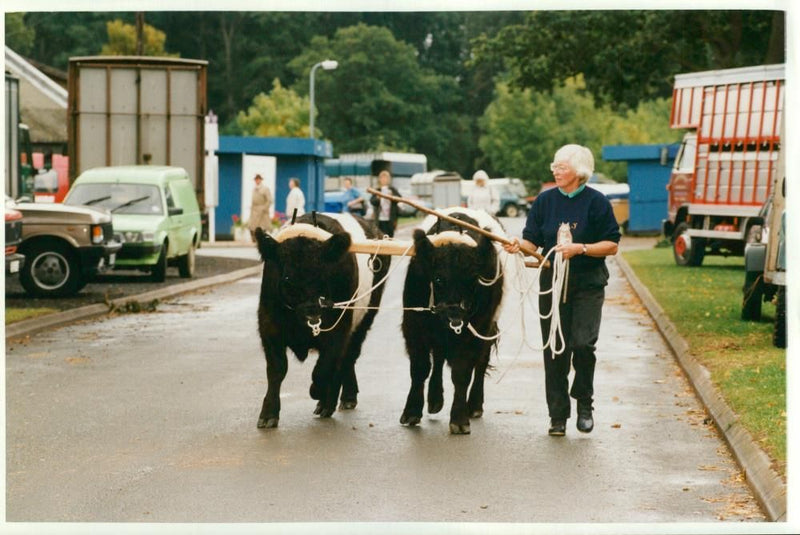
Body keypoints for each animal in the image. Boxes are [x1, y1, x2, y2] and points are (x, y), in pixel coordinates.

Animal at [255, 213, 390, 428]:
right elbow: (277, 369)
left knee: (347, 358)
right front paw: (268, 414)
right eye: (287, 279)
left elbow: (324, 368)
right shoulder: (269, 326)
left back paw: (340, 399)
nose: (313, 314)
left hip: (364, 320)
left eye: (324, 275)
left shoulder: (339, 330)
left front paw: (319, 393)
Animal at [404, 209, 504, 436]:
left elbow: (462, 372)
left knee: (480, 363)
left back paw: (474, 405)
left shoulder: (475, 330)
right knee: (439, 358)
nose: (455, 315)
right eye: (438, 279)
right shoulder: (414, 326)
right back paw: (434, 400)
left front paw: (459, 419)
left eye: (473, 279)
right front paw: (411, 411)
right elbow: (420, 368)